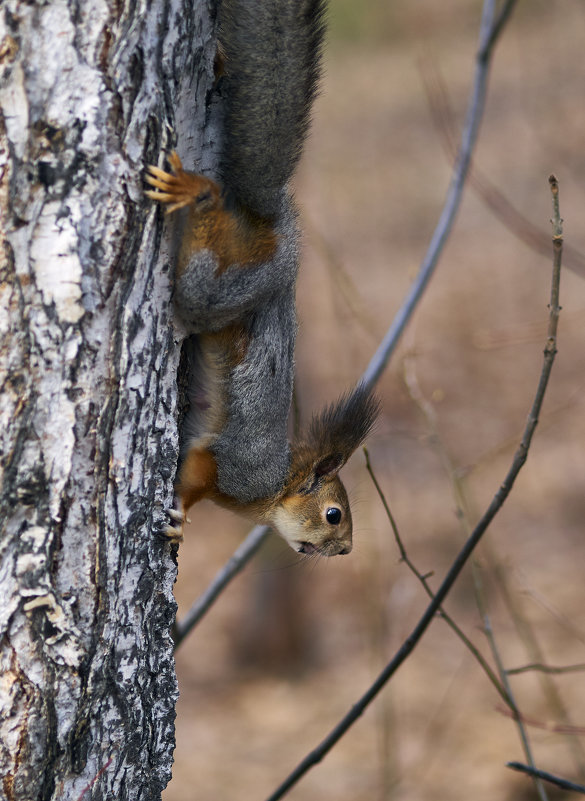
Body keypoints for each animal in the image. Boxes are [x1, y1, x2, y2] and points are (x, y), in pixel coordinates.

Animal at [146, 0, 378, 556]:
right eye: (334, 515)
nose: (345, 550)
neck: (275, 486)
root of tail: (267, 219)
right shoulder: (232, 467)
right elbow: (192, 480)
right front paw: (181, 520)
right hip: (227, 282)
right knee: (199, 285)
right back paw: (195, 190)